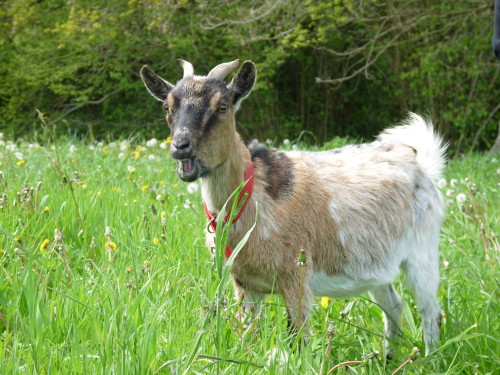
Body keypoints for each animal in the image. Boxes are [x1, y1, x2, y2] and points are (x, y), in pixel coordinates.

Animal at [140, 59, 446, 358]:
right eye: (167, 107)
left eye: (222, 106)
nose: (181, 147)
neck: (253, 198)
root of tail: (420, 164)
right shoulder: (245, 285)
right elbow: (249, 336)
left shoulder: (296, 277)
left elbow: (298, 339)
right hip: (377, 264)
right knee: (393, 305)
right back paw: (389, 358)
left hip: (423, 251)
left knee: (430, 311)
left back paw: (429, 358)